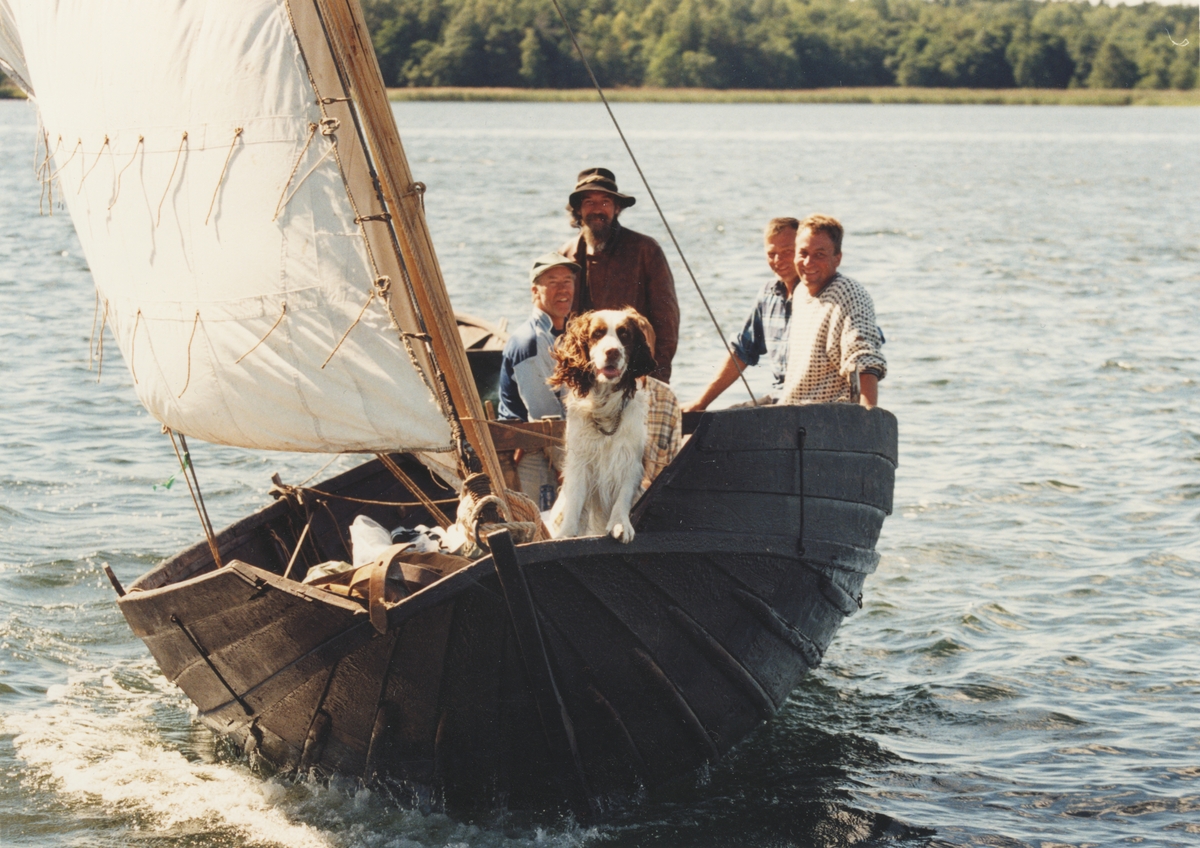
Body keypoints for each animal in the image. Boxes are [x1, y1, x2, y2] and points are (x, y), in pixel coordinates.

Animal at [547, 309, 657, 544]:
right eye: (597, 334)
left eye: (625, 335)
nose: (612, 352)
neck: (605, 409)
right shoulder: (580, 460)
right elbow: (574, 501)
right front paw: (566, 534)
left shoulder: (630, 460)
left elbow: (623, 495)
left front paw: (620, 524)